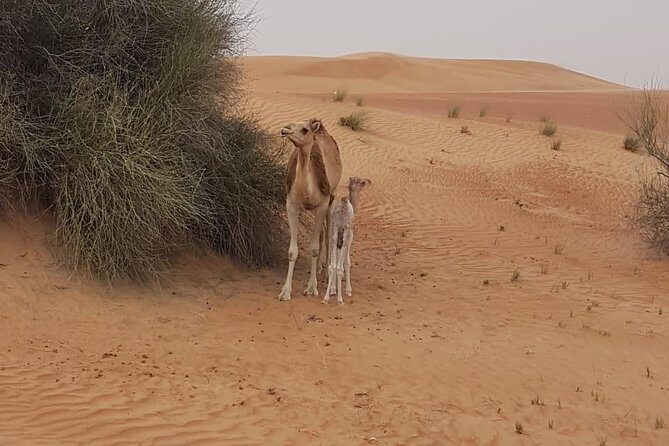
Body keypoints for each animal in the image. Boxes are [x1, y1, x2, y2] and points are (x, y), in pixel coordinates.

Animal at [278, 118, 342, 301]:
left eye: (305, 130)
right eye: (291, 123)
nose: (284, 130)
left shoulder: (322, 204)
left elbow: (314, 248)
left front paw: (312, 287)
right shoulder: (291, 204)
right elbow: (292, 251)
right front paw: (285, 291)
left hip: (331, 199)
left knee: (327, 235)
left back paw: (327, 274)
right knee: (321, 235)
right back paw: (319, 268)